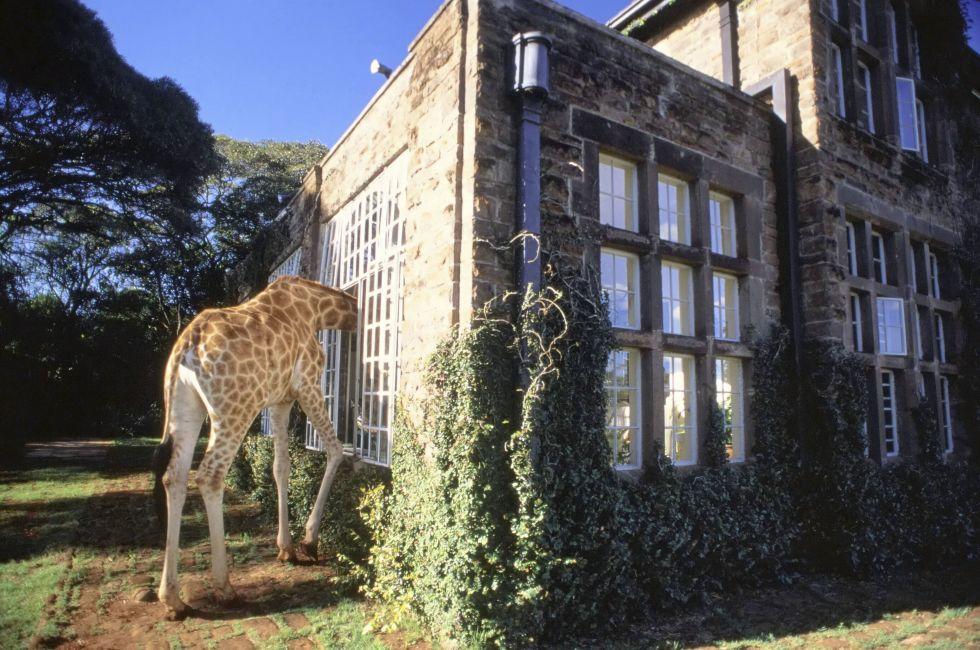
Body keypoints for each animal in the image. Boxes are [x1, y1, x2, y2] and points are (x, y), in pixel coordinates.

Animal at [151, 275, 357, 620]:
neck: (317, 309)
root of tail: (185, 349)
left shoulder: (281, 400)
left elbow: (281, 467)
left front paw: (286, 548)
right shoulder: (308, 383)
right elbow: (335, 449)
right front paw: (309, 541)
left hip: (184, 407)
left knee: (174, 477)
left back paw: (172, 598)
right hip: (235, 408)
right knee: (210, 475)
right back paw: (225, 589)